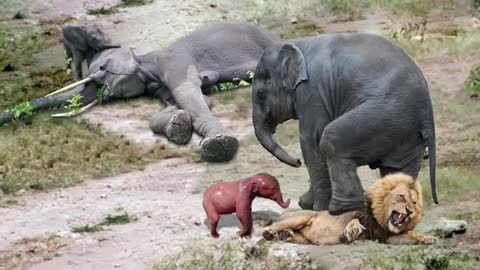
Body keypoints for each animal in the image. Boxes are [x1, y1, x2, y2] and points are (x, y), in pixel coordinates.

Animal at [0, 23, 280, 161]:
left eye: (101, 69)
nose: (104, 94)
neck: (143, 60)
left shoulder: (174, 63)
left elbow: (191, 96)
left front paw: (219, 146)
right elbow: (190, 102)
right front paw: (178, 126)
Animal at [251, 33, 438, 215]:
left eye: (260, 94)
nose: (296, 162)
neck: (299, 43)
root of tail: (427, 116)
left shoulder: (312, 92)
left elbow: (311, 141)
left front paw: (316, 208)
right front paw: (306, 204)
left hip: (385, 117)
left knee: (330, 140)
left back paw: (340, 208)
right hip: (407, 134)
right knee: (396, 170)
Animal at [262, 173, 436, 245]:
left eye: (414, 202)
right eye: (401, 196)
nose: (410, 211)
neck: (381, 220)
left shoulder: (385, 237)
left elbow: (411, 235)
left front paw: (428, 239)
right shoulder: (356, 216)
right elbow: (355, 220)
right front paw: (351, 232)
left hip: (305, 238)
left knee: (294, 235)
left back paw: (286, 235)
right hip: (300, 217)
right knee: (275, 226)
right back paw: (270, 232)